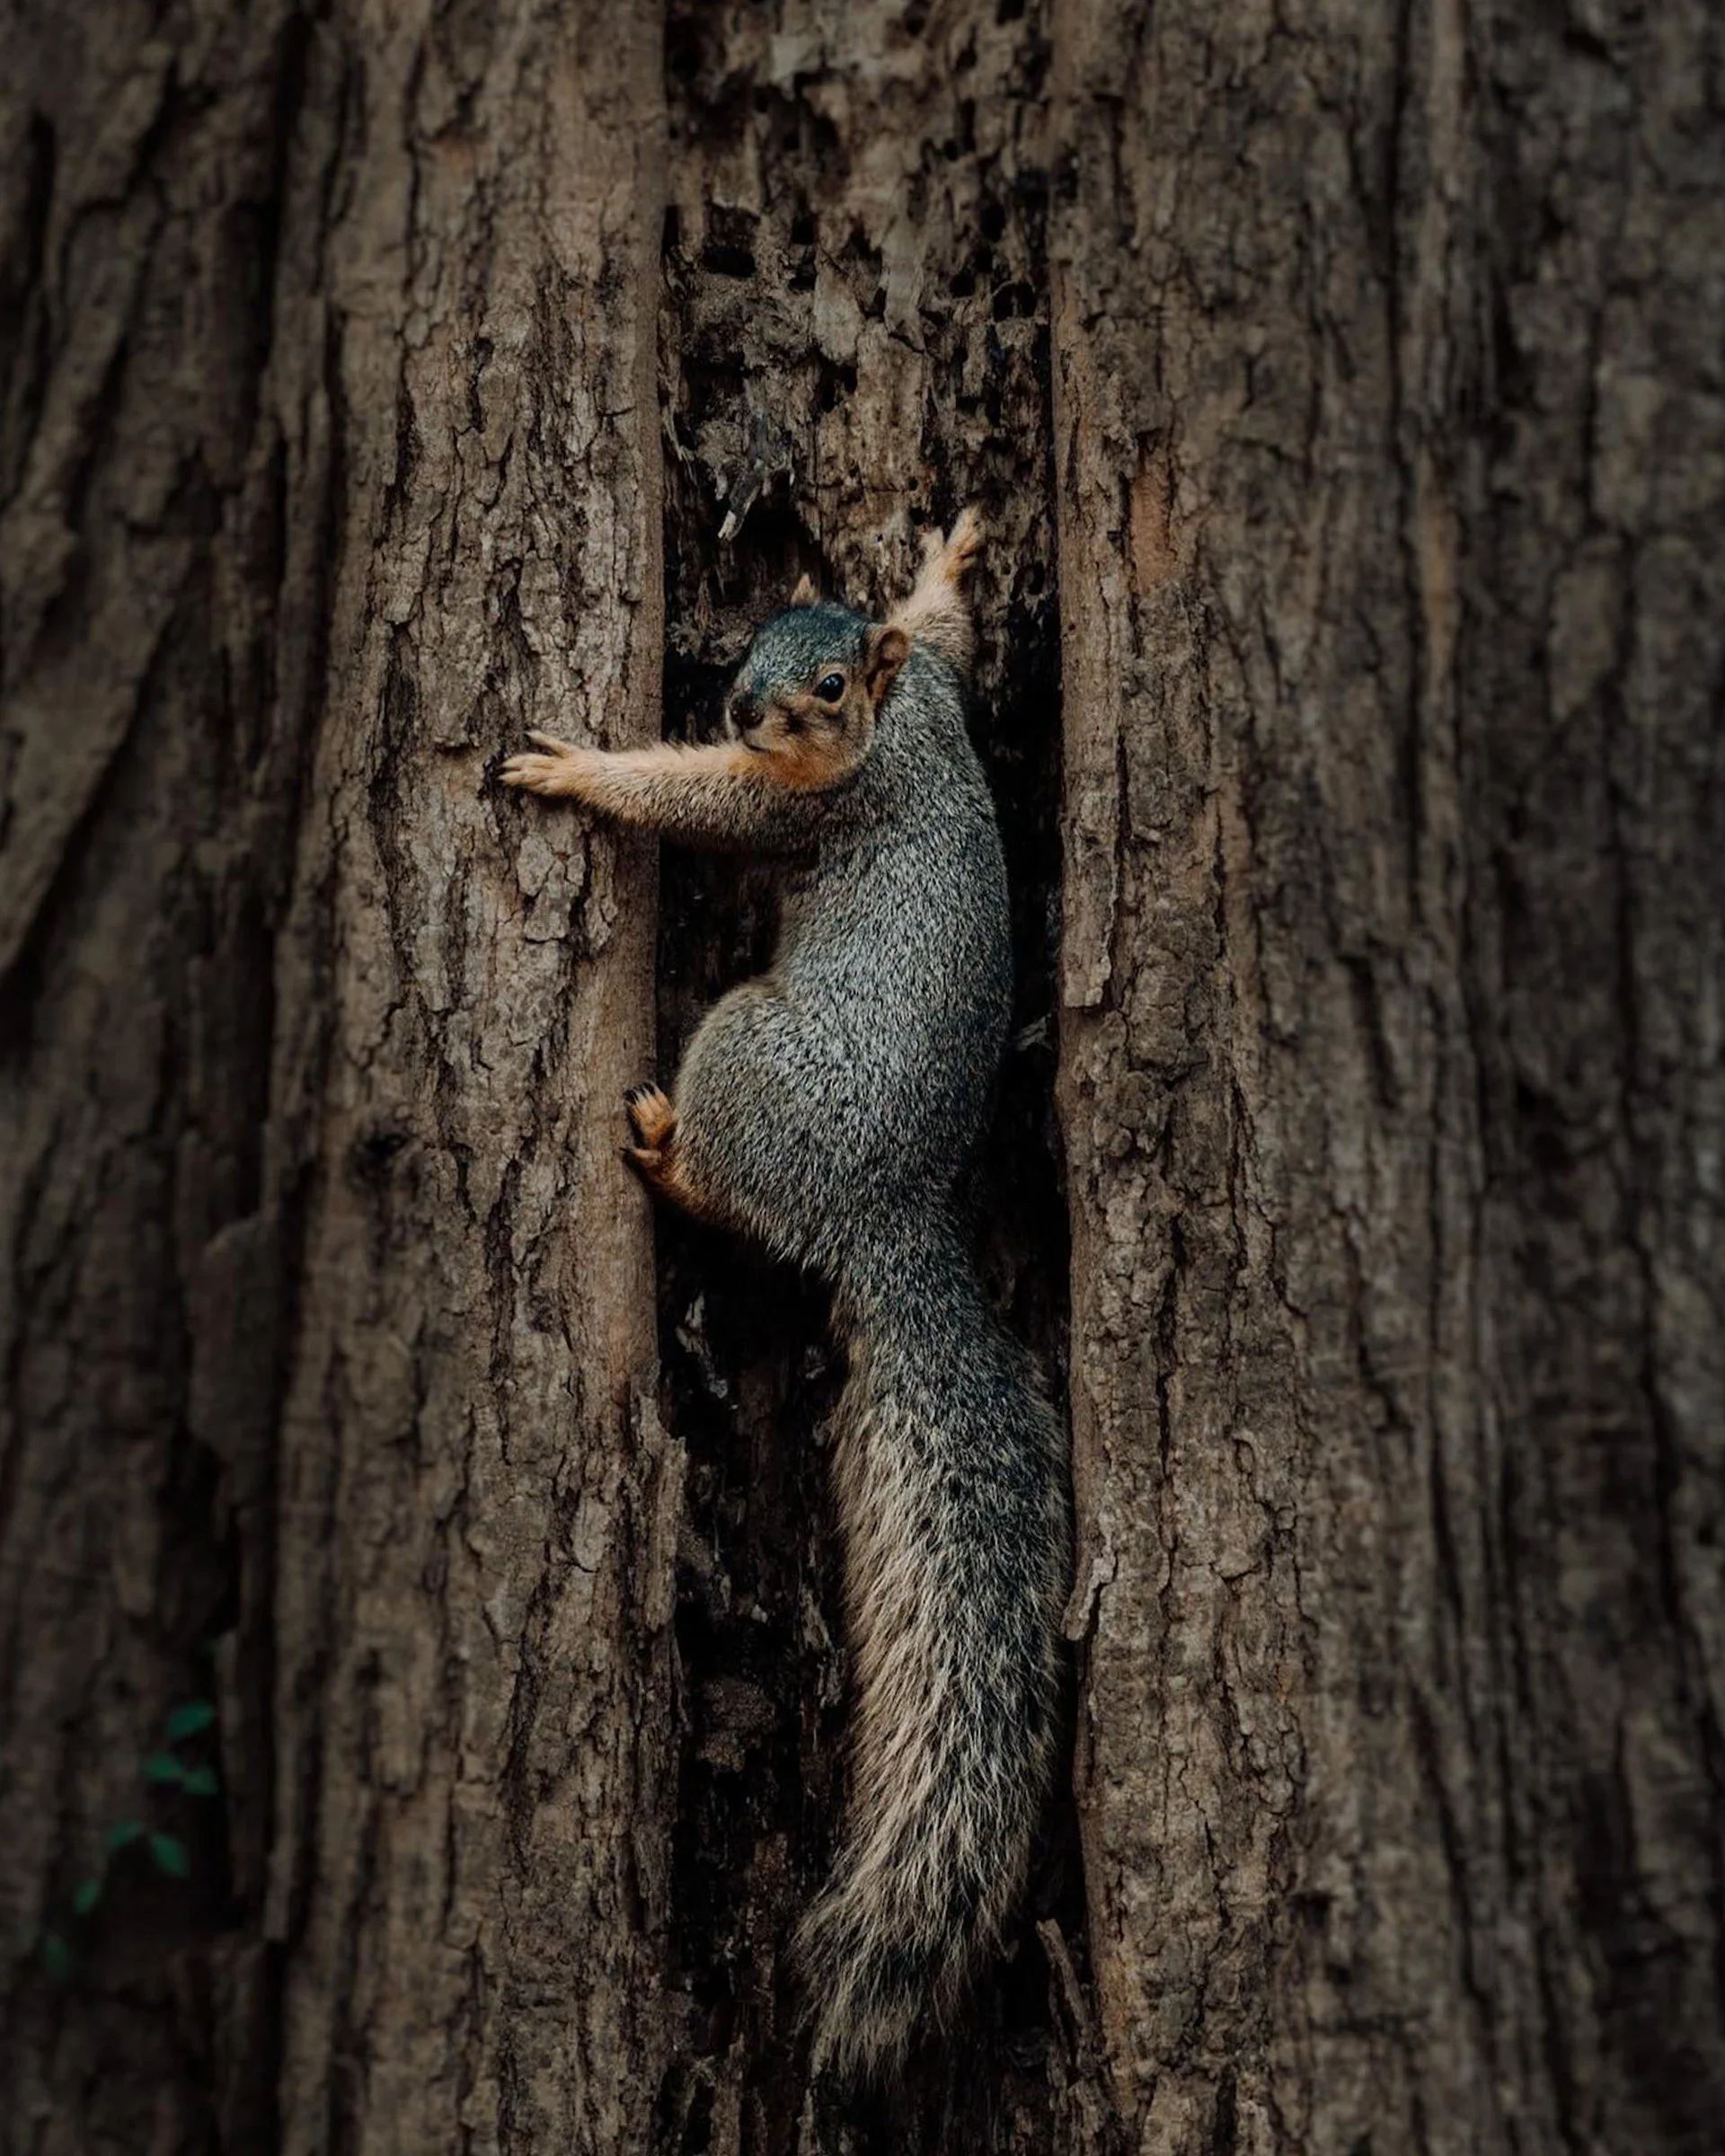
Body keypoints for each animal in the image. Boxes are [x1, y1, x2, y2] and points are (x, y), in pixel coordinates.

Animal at [502, 510, 1071, 2084]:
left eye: (819, 690)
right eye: (761, 638)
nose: (741, 706)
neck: (891, 727)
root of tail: (886, 1221)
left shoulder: (808, 807)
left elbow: (712, 806)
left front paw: (583, 770)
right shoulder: (934, 685)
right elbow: (943, 631)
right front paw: (945, 560)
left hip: (750, 1053)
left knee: (727, 1180)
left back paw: (667, 1152)